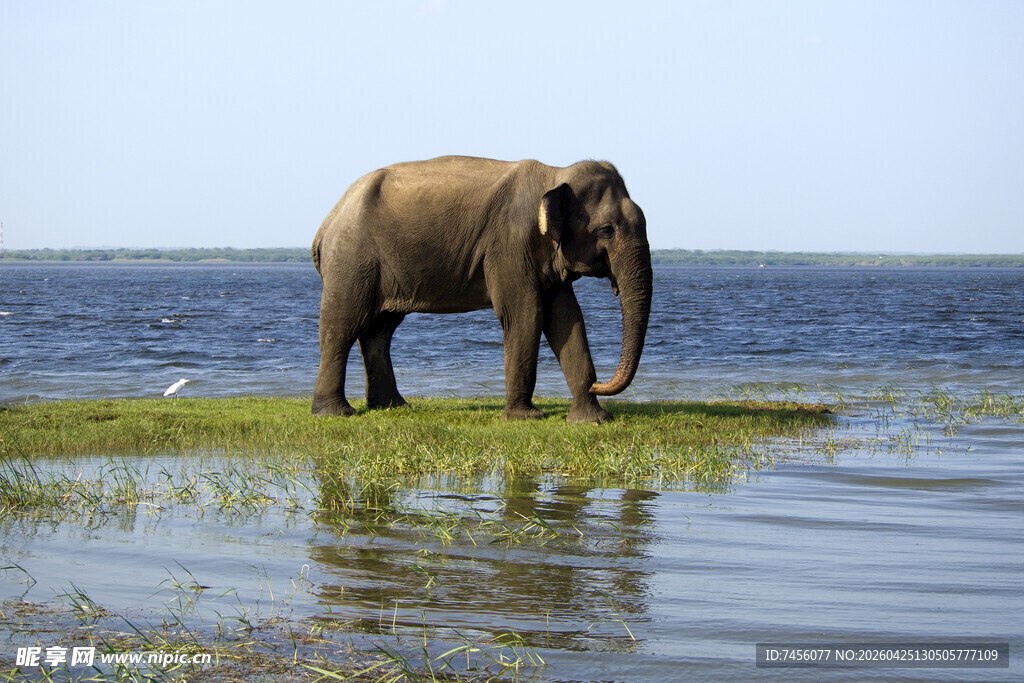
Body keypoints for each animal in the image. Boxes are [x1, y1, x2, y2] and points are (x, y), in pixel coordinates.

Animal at [311, 155, 653, 423]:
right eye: (606, 230)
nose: (598, 384)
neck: (555, 174)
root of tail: (326, 223)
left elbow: (567, 319)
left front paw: (593, 420)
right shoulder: (509, 243)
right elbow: (525, 313)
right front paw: (524, 418)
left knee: (380, 330)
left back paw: (392, 407)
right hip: (351, 259)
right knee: (343, 324)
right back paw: (335, 412)